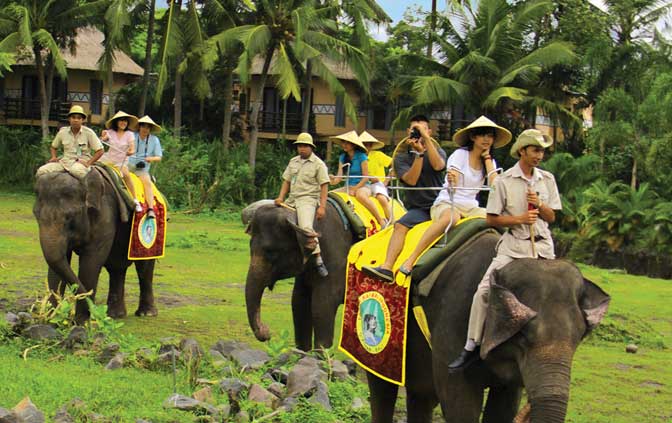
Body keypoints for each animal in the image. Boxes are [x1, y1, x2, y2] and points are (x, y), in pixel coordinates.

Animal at [33, 171, 158, 320]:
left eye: (69, 217)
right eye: (36, 215)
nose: (96, 312)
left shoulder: (105, 215)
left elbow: (91, 261)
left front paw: (81, 322)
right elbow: (59, 260)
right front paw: (51, 318)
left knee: (144, 266)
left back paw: (146, 313)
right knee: (117, 267)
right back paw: (115, 315)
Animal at [243, 201, 356, 352]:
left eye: (271, 252)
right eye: (250, 249)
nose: (266, 332)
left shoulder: (336, 260)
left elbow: (323, 305)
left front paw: (322, 353)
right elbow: (298, 302)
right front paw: (302, 351)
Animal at [364, 232, 612, 423]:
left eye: (578, 339)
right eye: (522, 336)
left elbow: (503, 409)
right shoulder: (453, 318)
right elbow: (460, 405)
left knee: (421, 396)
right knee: (383, 390)